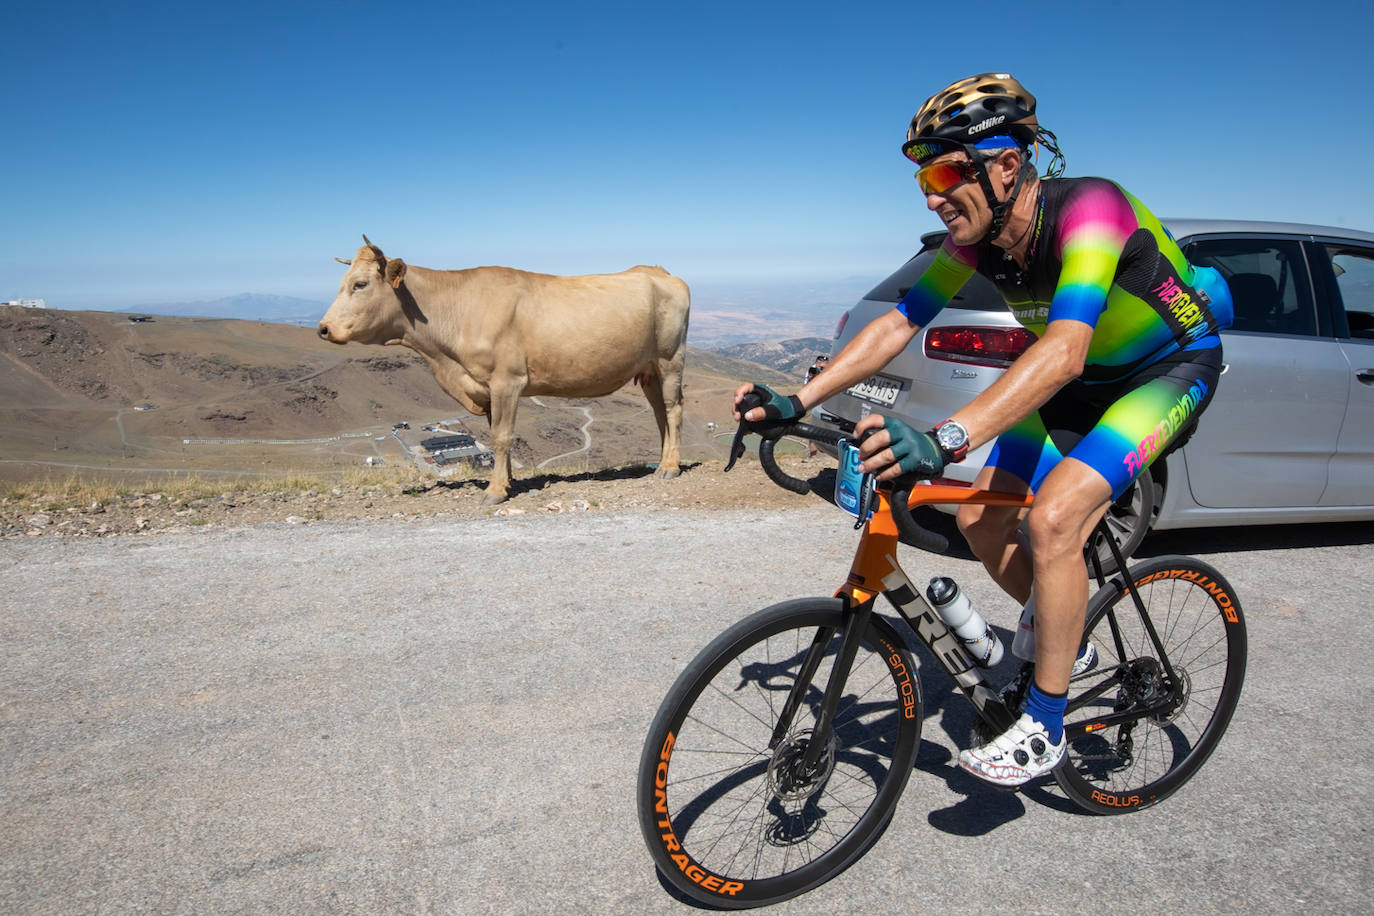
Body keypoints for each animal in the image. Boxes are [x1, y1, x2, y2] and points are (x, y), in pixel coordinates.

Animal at [318, 236, 687, 505]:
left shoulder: (507, 381)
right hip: (649, 369)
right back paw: (660, 462)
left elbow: (501, 436)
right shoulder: (483, 386)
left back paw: (670, 467)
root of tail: (662, 272)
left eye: (360, 284)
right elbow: (496, 432)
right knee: (660, 413)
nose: (323, 328)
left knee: (673, 408)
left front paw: (495, 491)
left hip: (670, 359)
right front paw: (508, 480)